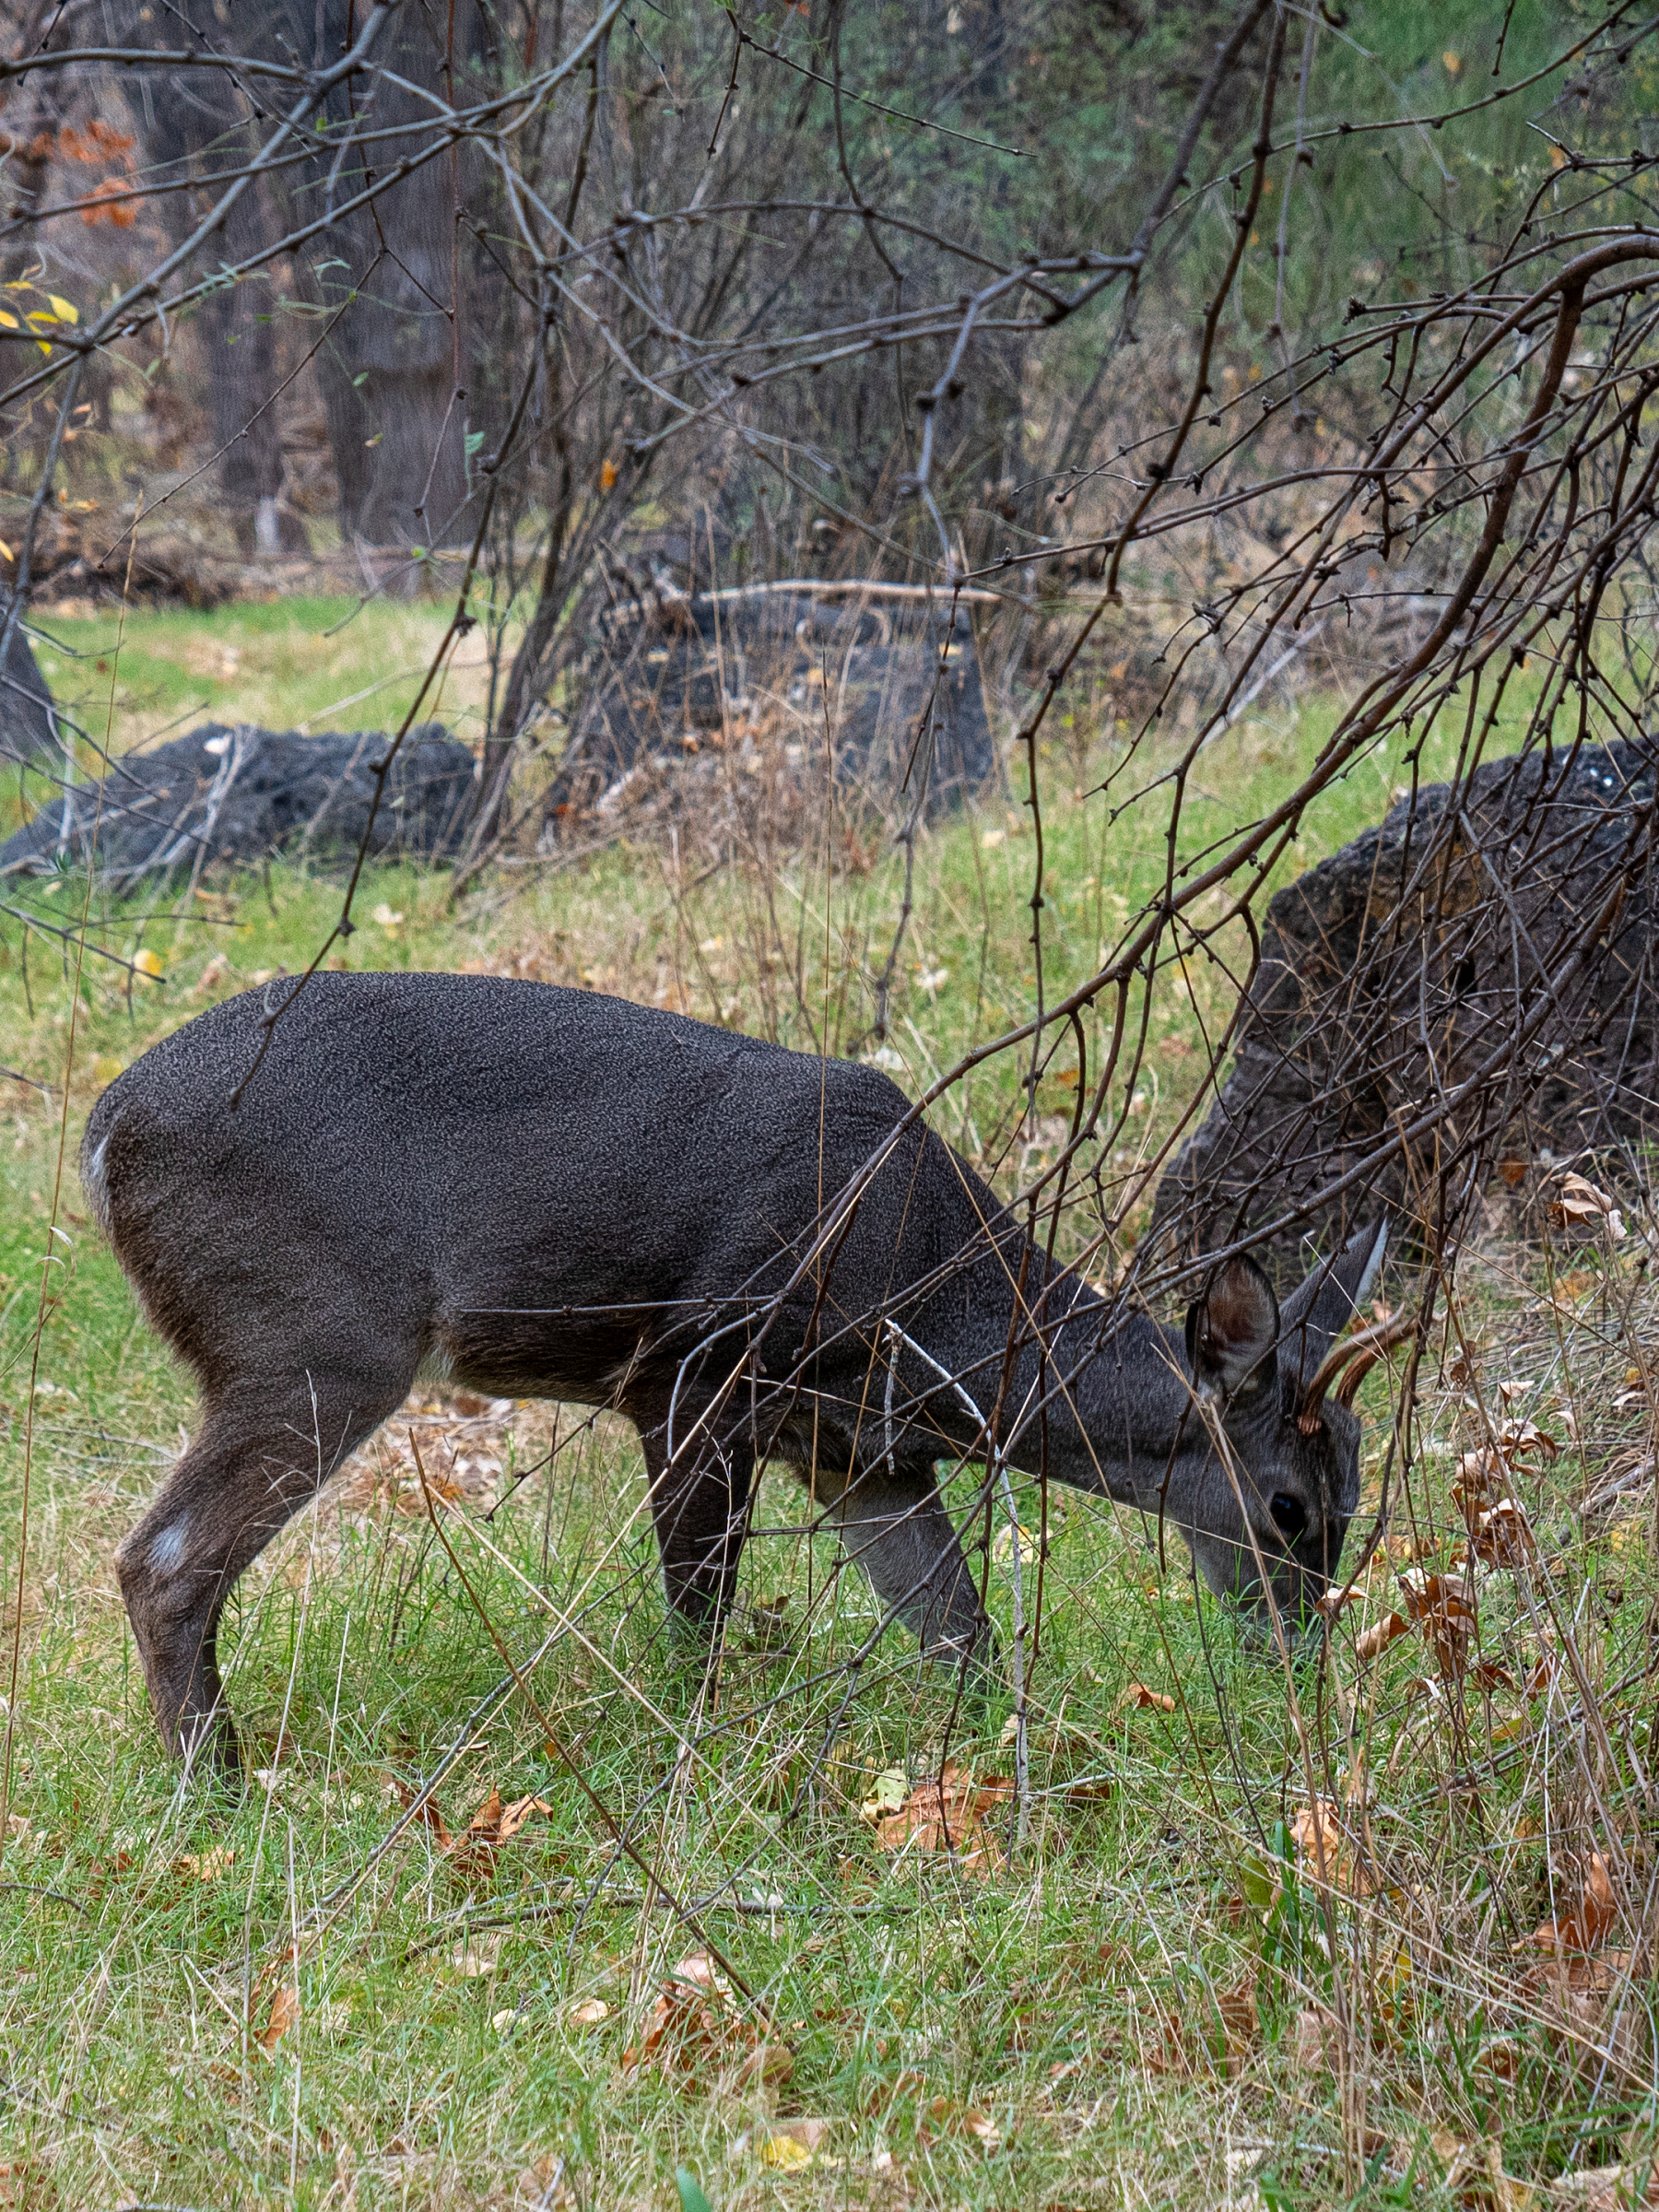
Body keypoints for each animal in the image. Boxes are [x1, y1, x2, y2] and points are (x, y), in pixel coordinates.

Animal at [82, 972, 1399, 1772]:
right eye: (1288, 1507)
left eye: (1357, 1495)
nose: (1301, 1665)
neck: (939, 1309)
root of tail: (104, 1133)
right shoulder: (693, 1375)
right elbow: (698, 1618)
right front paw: (699, 1760)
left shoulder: (862, 1457)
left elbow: (958, 1631)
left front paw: (987, 1773)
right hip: (315, 1335)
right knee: (164, 1557)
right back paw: (220, 1790)